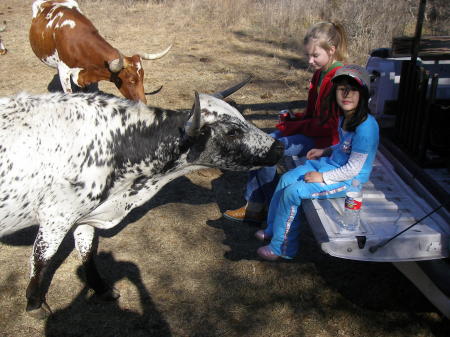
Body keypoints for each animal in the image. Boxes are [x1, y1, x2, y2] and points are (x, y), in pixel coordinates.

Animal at [0, 79, 284, 318]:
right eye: (232, 131)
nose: (279, 146)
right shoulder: (57, 217)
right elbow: (42, 258)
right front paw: (35, 303)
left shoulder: (85, 216)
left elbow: (87, 252)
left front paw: (102, 289)